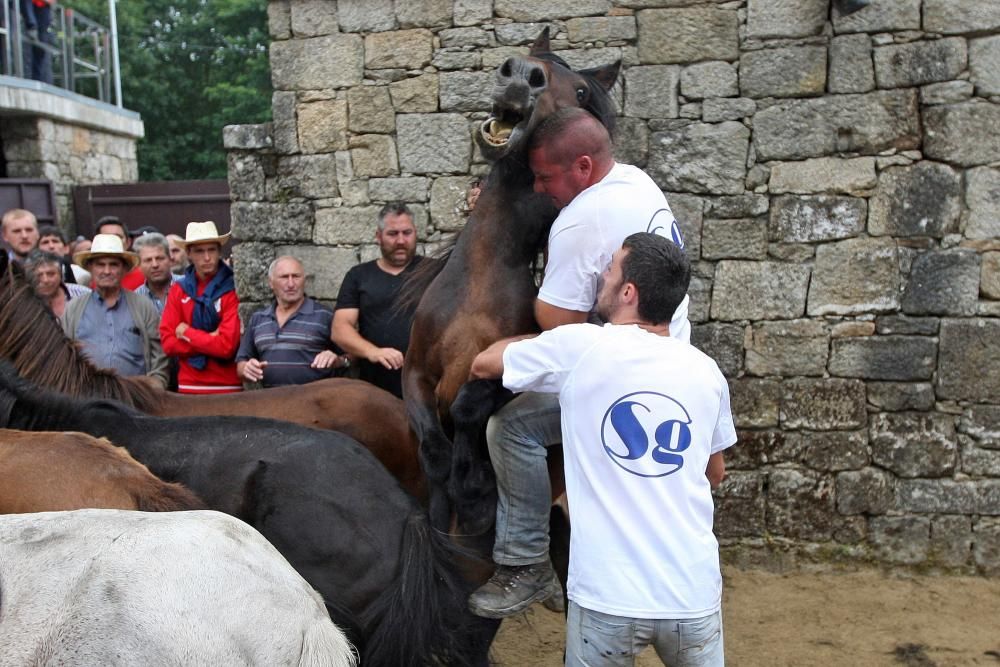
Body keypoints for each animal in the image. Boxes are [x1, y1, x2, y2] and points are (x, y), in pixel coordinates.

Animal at [400, 28, 616, 532]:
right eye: (532, 59)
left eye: (581, 92)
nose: (521, 76)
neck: (480, 283)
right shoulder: (413, 372)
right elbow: (432, 447)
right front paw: (447, 504)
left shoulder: (518, 368)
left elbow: (469, 405)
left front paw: (476, 493)